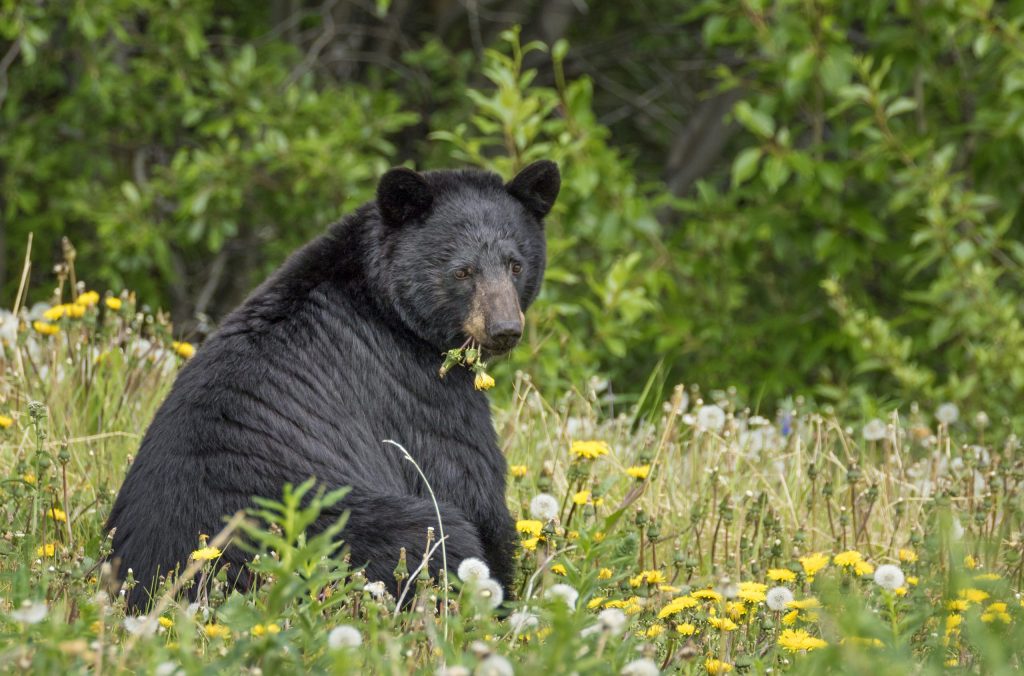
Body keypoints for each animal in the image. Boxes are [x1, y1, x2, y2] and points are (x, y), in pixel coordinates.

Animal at [105, 160, 561, 610]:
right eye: (462, 271)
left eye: (515, 264)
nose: (505, 329)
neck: (387, 305)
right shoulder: (417, 393)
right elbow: (467, 484)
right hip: (345, 524)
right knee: (438, 533)